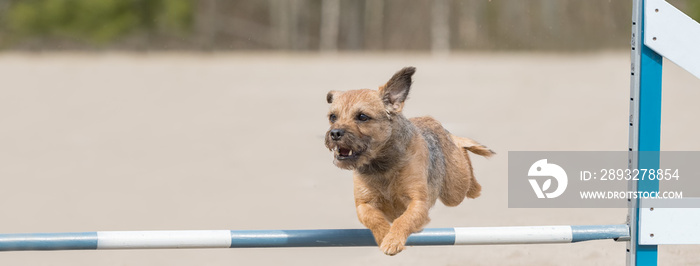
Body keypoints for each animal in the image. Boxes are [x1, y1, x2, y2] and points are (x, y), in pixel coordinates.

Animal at [324, 67, 492, 256]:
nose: (335, 133)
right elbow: (374, 218)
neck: (382, 164)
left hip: (454, 189)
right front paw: (385, 236)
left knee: (464, 164)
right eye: (332, 117)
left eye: (362, 117)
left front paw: (393, 240)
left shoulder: (417, 203)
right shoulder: (364, 204)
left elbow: (403, 220)